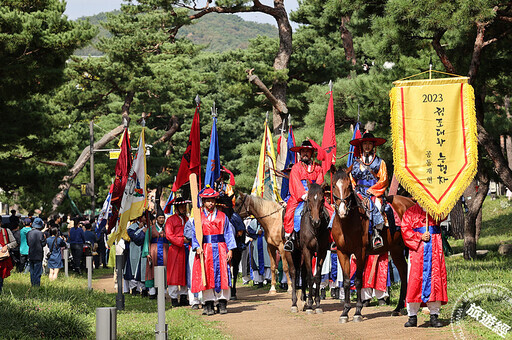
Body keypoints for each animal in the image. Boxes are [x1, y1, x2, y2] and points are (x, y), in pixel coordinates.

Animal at [284, 183, 332, 314]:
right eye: (309, 199)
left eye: (322, 200)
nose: (316, 222)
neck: (315, 229)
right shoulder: (307, 250)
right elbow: (310, 277)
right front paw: (311, 305)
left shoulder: (322, 252)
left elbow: (317, 277)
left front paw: (317, 304)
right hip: (291, 252)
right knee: (294, 273)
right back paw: (294, 303)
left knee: (303, 272)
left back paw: (303, 301)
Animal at [332, 169, 416, 322]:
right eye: (334, 185)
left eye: (348, 186)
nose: (342, 211)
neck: (347, 223)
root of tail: (410, 201)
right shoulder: (342, 252)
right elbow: (346, 281)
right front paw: (345, 312)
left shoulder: (360, 252)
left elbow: (358, 280)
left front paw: (358, 311)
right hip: (396, 249)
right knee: (403, 271)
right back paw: (398, 308)